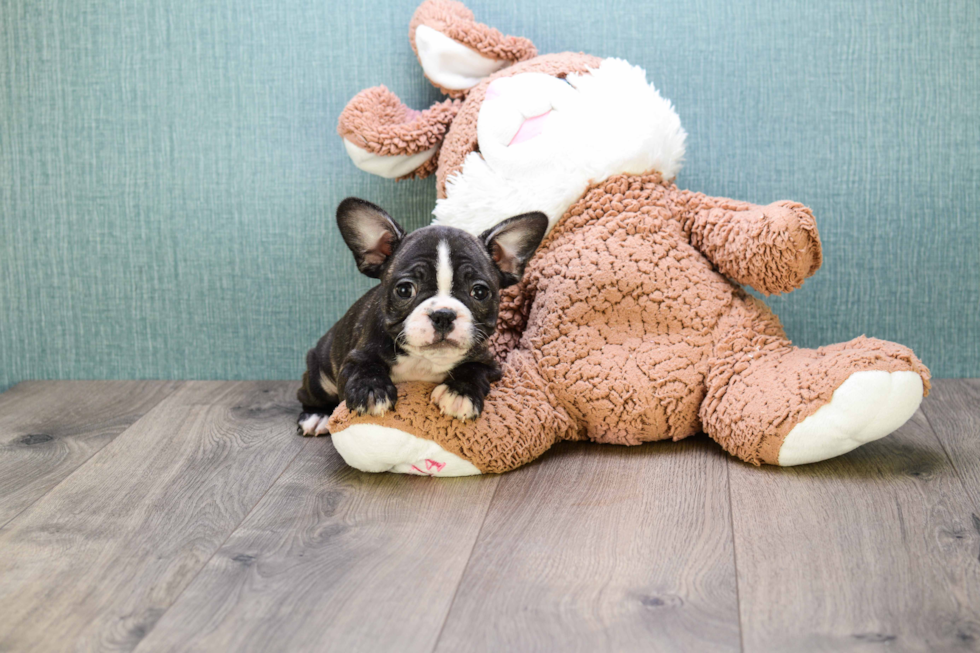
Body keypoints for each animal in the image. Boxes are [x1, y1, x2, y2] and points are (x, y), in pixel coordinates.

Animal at [294, 196, 548, 436]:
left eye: (480, 292)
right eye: (405, 290)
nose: (443, 315)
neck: (425, 360)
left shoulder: (489, 363)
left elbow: (473, 370)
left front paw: (460, 393)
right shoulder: (354, 357)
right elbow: (364, 368)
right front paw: (371, 390)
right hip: (319, 375)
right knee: (308, 395)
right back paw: (317, 416)